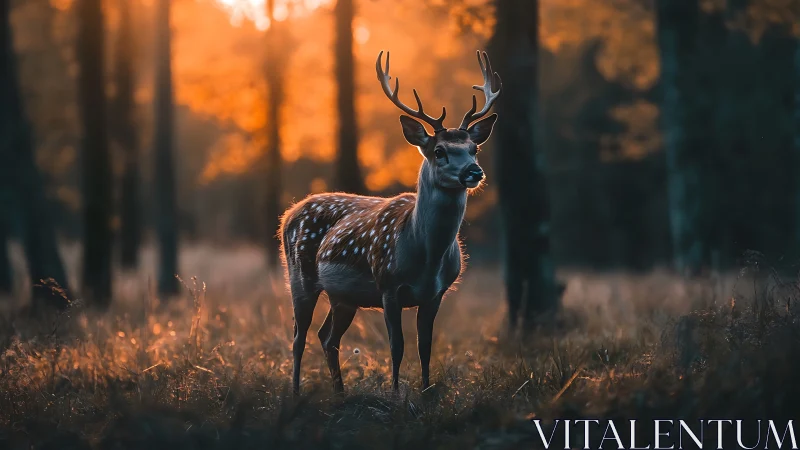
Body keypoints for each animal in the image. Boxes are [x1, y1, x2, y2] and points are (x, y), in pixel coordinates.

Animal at [279, 50, 501, 395]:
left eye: (473, 148)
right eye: (439, 150)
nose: (474, 172)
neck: (426, 257)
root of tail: (289, 213)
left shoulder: (436, 293)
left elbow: (425, 347)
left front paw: (425, 393)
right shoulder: (388, 285)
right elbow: (397, 346)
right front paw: (396, 394)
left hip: (344, 297)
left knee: (327, 337)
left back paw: (340, 393)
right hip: (299, 276)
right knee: (298, 338)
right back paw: (295, 393)